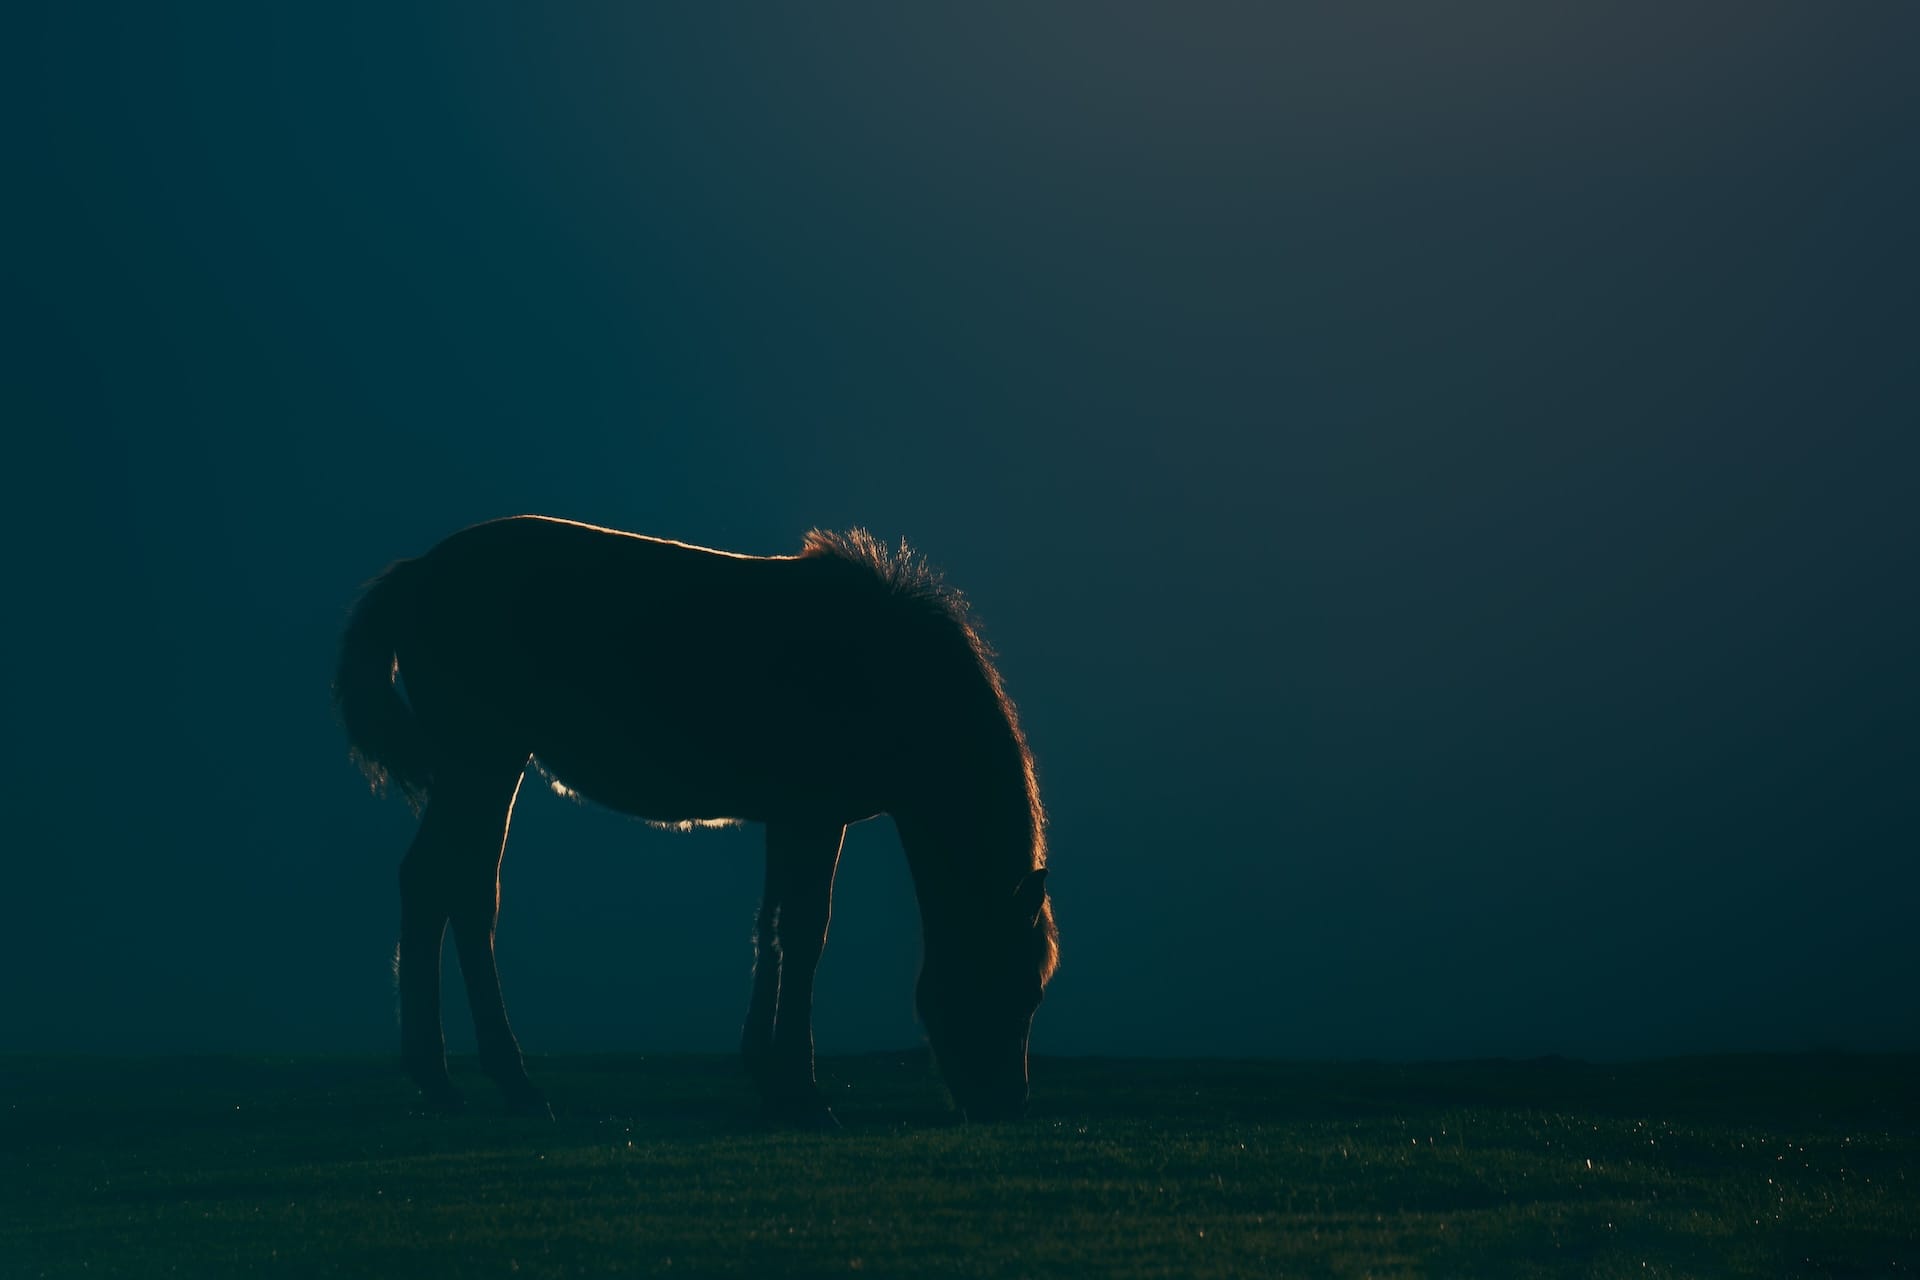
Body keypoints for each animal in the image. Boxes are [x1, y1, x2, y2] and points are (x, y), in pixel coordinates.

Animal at [334, 515, 1057, 1125]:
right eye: (1018, 987)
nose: (1008, 1102)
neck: (886, 673)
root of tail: (421, 571)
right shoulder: (816, 817)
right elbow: (805, 932)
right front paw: (803, 1092)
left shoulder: (788, 819)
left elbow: (771, 928)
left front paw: (767, 1075)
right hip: (484, 763)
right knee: (458, 891)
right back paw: (503, 1080)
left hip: (480, 770)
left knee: (438, 887)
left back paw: (444, 1077)